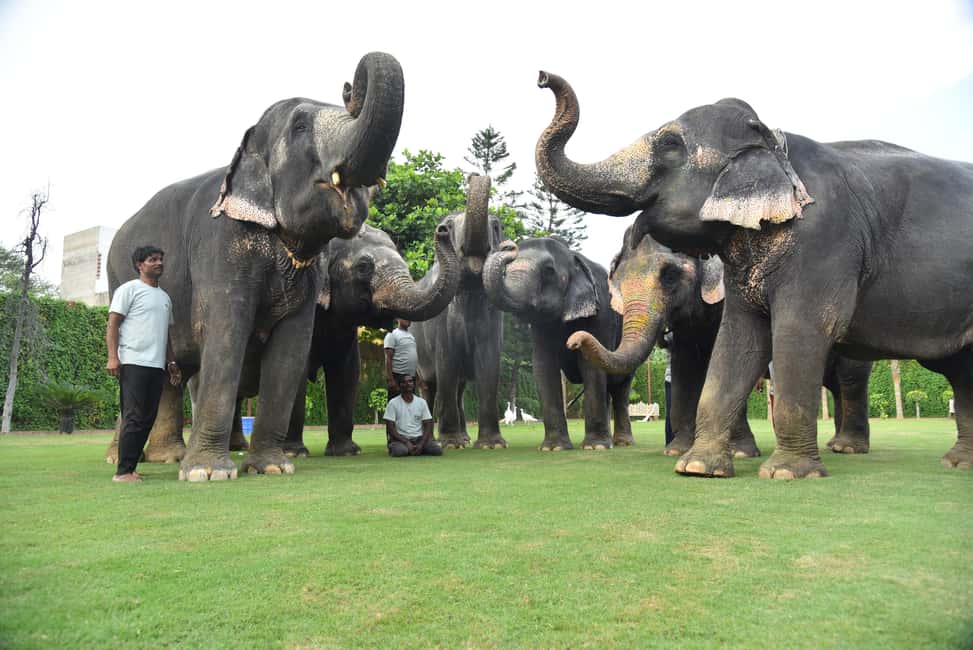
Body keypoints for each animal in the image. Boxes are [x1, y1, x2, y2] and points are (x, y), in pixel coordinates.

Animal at [106, 52, 404, 481]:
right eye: (300, 126)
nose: (349, 88)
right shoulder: (220, 248)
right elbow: (226, 334)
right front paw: (207, 474)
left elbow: (291, 350)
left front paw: (273, 467)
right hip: (118, 281)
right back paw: (127, 460)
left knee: (167, 380)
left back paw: (167, 458)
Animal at [411, 174, 507, 449]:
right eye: (447, 226)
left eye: (496, 226)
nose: (474, 175)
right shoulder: (441, 320)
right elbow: (446, 365)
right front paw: (451, 444)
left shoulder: (493, 317)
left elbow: (489, 367)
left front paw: (493, 445)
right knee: (430, 387)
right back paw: (436, 439)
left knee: (460, 388)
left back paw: (464, 437)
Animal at [483, 236, 634, 450]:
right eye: (507, 269)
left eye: (548, 270)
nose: (508, 245)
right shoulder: (540, 327)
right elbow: (543, 366)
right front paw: (553, 448)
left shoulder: (601, 314)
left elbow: (591, 365)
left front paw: (594, 447)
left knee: (620, 386)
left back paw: (622, 443)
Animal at [567, 227, 873, 457]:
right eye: (618, 280)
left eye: (670, 275)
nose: (573, 340)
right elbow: (685, 368)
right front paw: (677, 450)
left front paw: (740, 452)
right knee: (836, 385)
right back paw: (835, 445)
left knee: (851, 379)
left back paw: (848, 448)